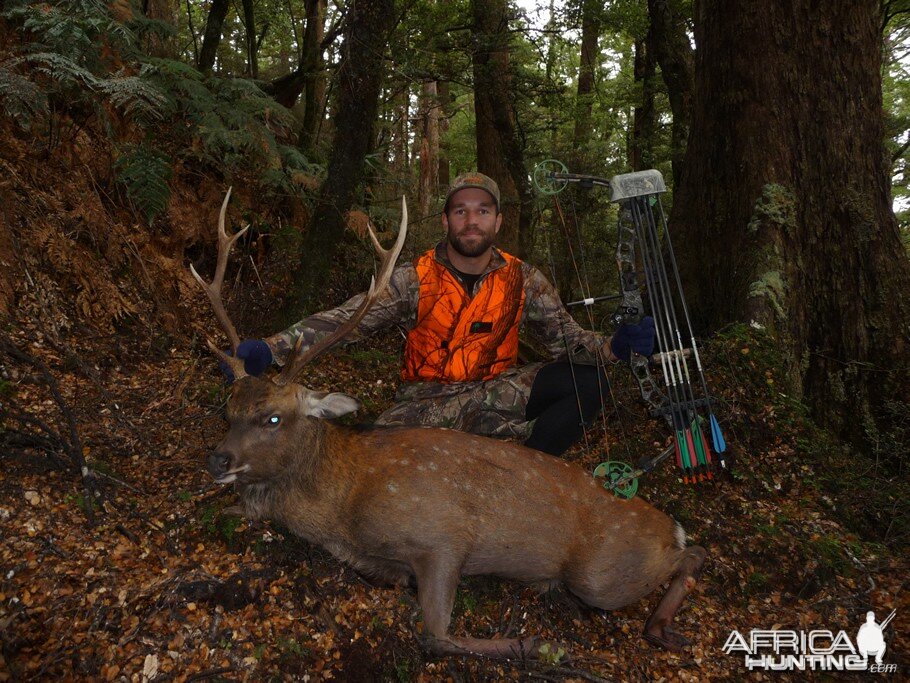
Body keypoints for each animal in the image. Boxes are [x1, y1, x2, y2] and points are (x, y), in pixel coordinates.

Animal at [191, 190, 704, 660]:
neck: (341, 507)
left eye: (273, 417)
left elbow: (437, 635)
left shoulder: (442, 535)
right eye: (228, 411)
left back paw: (655, 622)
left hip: (602, 572)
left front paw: (539, 644)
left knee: (689, 557)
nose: (217, 460)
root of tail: (671, 525)